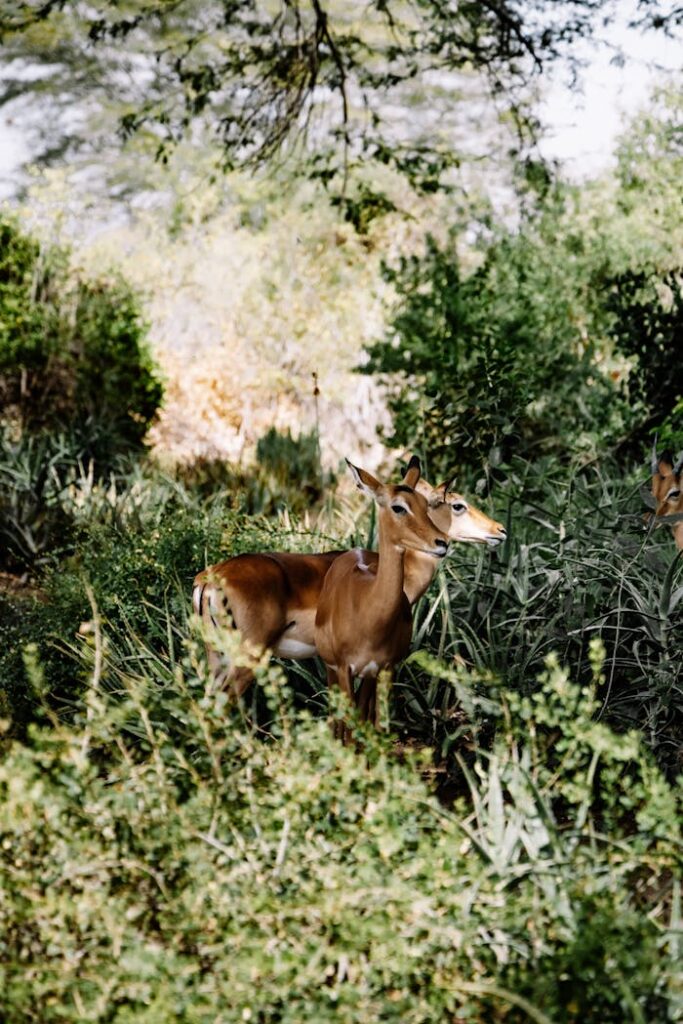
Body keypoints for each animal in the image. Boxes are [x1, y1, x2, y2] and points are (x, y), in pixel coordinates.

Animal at [314, 460, 450, 742]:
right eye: (398, 507)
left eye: (425, 504)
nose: (442, 542)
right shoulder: (344, 668)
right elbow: (349, 726)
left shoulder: (385, 668)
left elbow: (379, 727)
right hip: (331, 670)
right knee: (337, 718)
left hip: (369, 676)